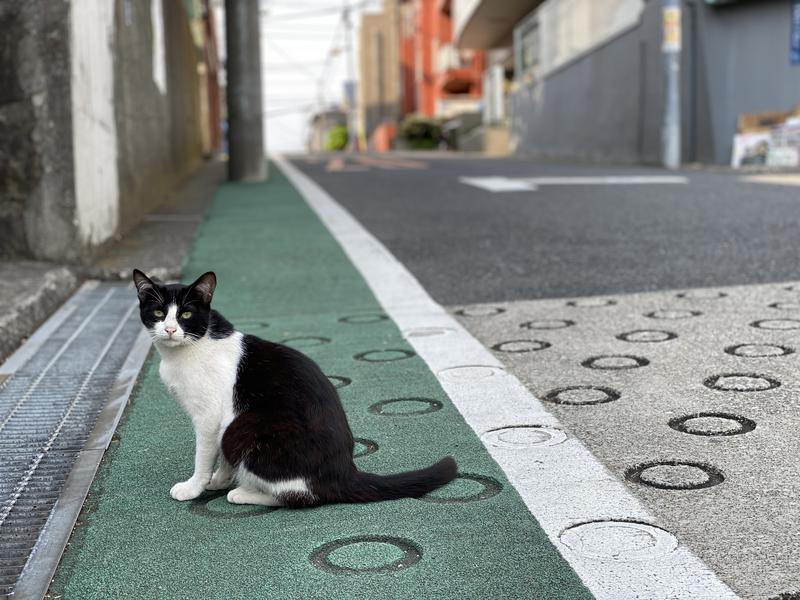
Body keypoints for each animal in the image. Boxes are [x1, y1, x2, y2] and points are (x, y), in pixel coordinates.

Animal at [132, 268, 456, 506]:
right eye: (159, 313)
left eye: (185, 314)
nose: (170, 329)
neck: (187, 349)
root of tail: (345, 472)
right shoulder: (219, 421)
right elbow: (222, 457)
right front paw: (219, 479)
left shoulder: (210, 417)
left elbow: (204, 454)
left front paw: (194, 487)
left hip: (244, 427)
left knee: (300, 496)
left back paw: (244, 493)